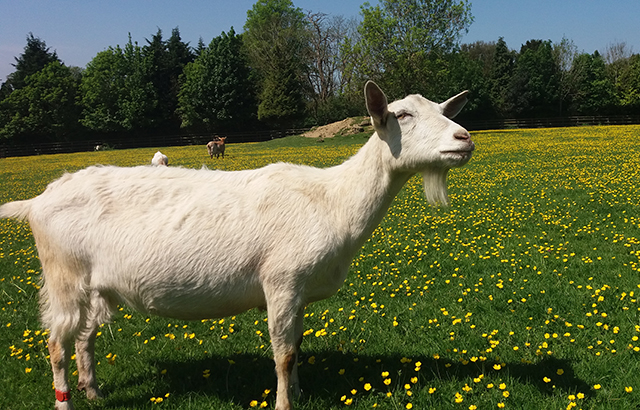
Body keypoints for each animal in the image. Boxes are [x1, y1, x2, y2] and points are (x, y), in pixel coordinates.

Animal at [0, 81, 473, 410]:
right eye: (402, 114)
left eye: (442, 110)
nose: (464, 138)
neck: (331, 200)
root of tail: (39, 200)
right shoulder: (281, 282)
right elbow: (283, 354)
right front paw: (283, 403)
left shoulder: (298, 292)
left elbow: (297, 344)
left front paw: (299, 394)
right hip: (63, 275)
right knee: (56, 344)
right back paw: (66, 399)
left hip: (94, 285)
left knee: (85, 338)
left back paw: (94, 391)